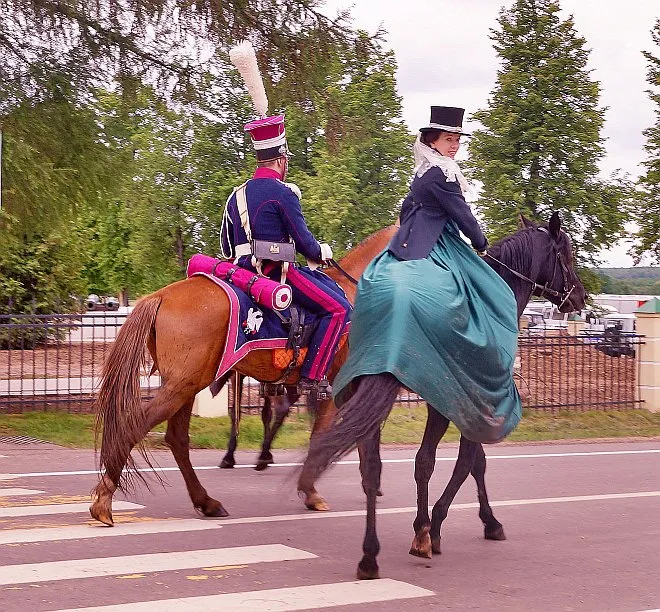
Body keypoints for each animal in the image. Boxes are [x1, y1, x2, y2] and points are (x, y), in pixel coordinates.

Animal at [90, 225, 394, 524]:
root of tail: (159, 296)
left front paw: (370, 481)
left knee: (177, 438)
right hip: (181, 387)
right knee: (134, 426)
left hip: (185, 386)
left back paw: (207, 501)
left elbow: (359, 431)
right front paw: (312, 490)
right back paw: (104, 500)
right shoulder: (338, 384)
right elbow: (328, 434)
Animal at [300, 213, 588, 580]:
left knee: (369, 467)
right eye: (565, 252)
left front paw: (445, 526)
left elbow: (448, 462)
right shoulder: (472, 403)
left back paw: (367, 555)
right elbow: (465, 462)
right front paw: (438, 528)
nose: (580, 297)